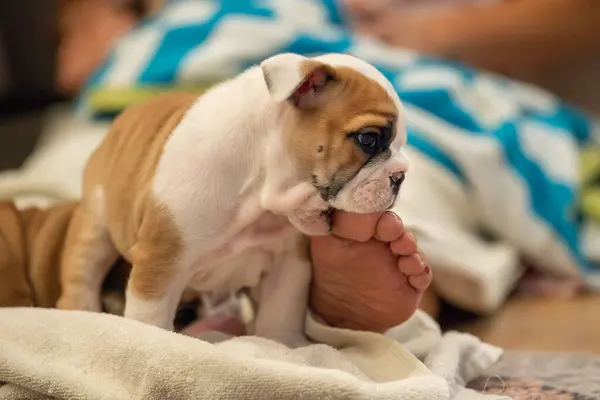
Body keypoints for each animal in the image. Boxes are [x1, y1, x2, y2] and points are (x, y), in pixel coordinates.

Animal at [56, 53, 408, 346]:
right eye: (368, 138)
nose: (400, 176)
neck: (258, 195)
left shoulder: (288, 264)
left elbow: (281, 310)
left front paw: (285, 346)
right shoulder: (160, 261)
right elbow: (151, 319)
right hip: (96, 225)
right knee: (81, 277)